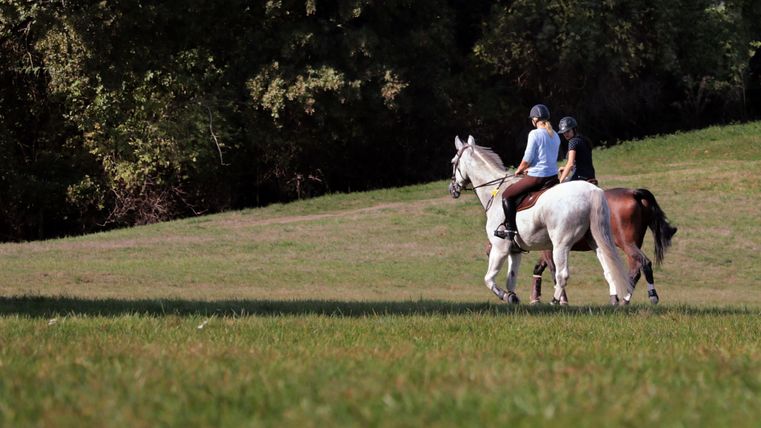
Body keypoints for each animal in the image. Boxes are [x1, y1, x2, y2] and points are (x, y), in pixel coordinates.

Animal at [449, 135, 633, 305]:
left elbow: (488, 279)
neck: (495, 192)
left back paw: (555, 301)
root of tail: (591, 191)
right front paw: (512, 297)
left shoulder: (499, 248)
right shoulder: (515, 251)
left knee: (562, 274)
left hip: (561, 245)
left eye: (453, 162)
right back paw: (615, 300)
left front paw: (504, 296)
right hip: (596, 241)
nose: (452, 189)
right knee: (609, 268)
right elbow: (511, 279)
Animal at [527, 188, 678, 305]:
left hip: (627, 243)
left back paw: (649, 296)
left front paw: (559, 300)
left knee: (644, 263)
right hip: (633, 244)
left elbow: (553, 271)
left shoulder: (551, 249)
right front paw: (535, 298)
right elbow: (539, 268)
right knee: (635, 270)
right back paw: (624, 299)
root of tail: (633, 192)